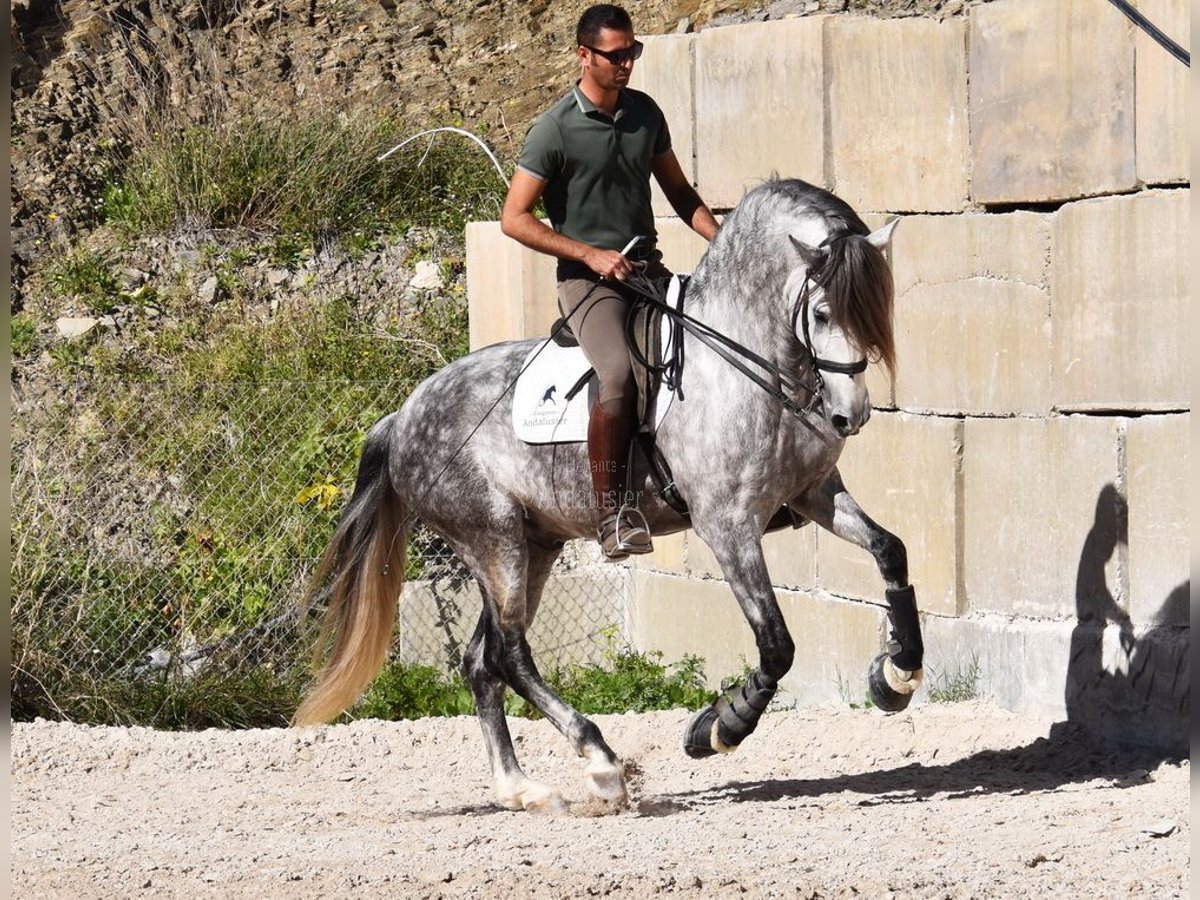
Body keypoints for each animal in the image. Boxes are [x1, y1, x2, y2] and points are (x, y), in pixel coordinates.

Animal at [295, 180, 921, 816]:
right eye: (821, 313)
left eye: (875, 309)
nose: (850, 416)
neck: (748, 365)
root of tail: (402, 417)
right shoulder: (727, 525)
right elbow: (776, 644)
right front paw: (717, 728)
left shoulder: (816, 494)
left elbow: (890, 550)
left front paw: (897, 674)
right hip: (493, 541)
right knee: (509, 653)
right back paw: (601, 763)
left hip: (533, 546)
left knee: (481, 660)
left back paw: (521, 789)